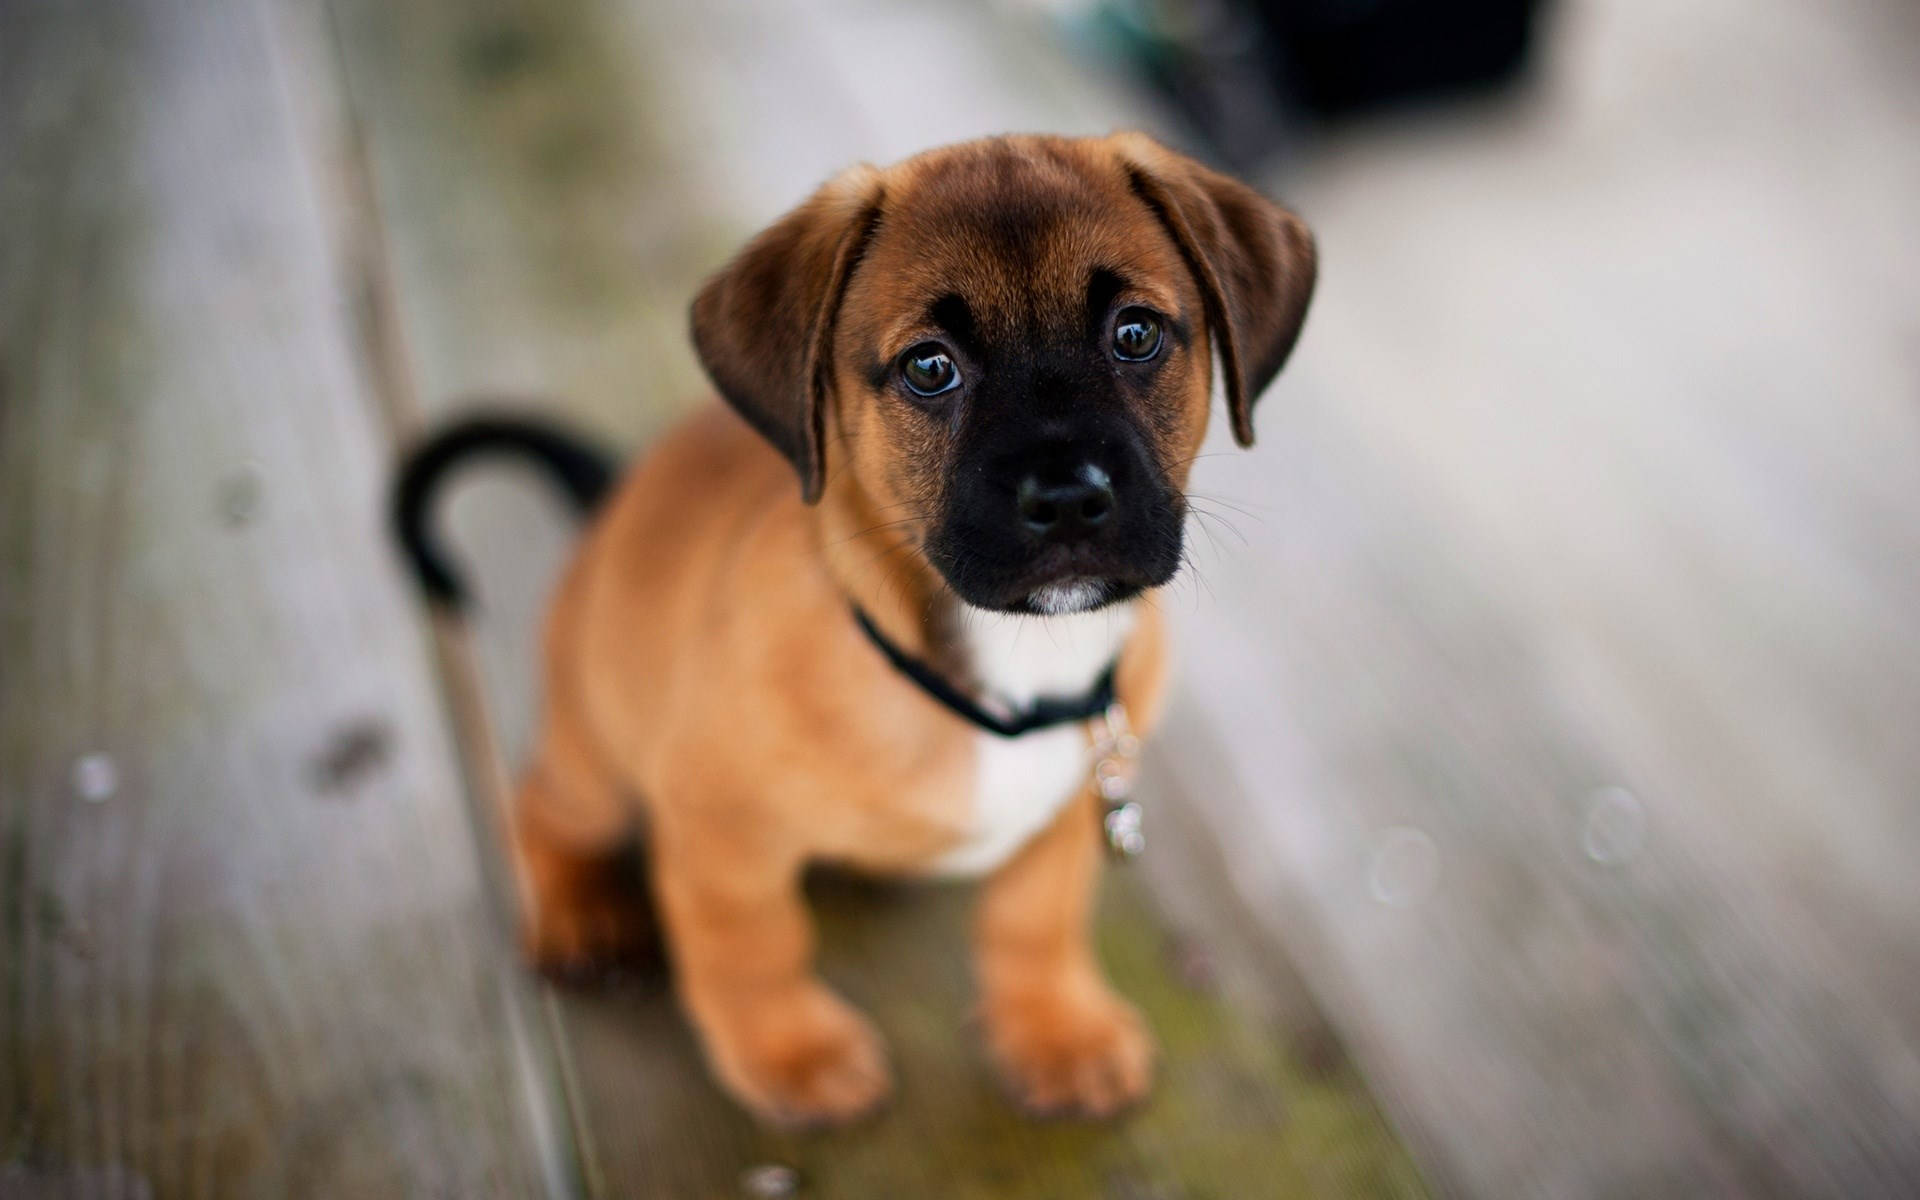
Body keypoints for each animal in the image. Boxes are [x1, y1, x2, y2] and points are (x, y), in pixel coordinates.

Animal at [399, 130, 1313, 1121]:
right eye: (929, 367)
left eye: (1136, 334)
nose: (1070, 498)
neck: (1004, 673)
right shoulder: (717, 830)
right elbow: (752, 946)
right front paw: (789, 1050)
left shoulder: (1066, 819)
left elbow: (1036, 921)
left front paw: (1054, 1026)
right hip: (599, 757)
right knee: (538, 805)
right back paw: (579, 911)